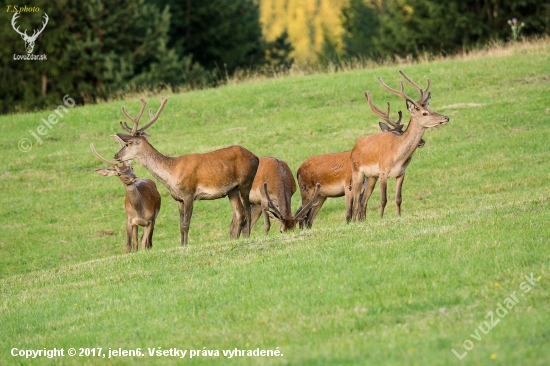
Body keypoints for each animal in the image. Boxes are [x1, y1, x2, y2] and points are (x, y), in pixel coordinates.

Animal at [112, 98, 260, 246]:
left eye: (127, 144)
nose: (115, 156)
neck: (171, 173)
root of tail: (255, 157)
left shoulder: (189, 193)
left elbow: (186, 224)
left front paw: (185, 245)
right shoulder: (179, 198)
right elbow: (180, 225)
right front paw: (182, 244)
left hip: (246, 180)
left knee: (247, 210)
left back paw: (247, 236)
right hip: (232, 190)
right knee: (240, 213)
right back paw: (235, 238)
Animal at [352, 71, 450, 220]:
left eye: (431, 108)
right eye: (424, 113)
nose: (446, 118)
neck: (397, 156)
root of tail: (355, 146)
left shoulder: (401, 173)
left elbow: (398, 198)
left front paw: (398, 216)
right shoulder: (383, 172)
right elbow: (383, 199)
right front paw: (381, 218)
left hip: (371, 177)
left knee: (363, 201)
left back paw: (362, 221)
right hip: (357, 172)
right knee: (356, 199)